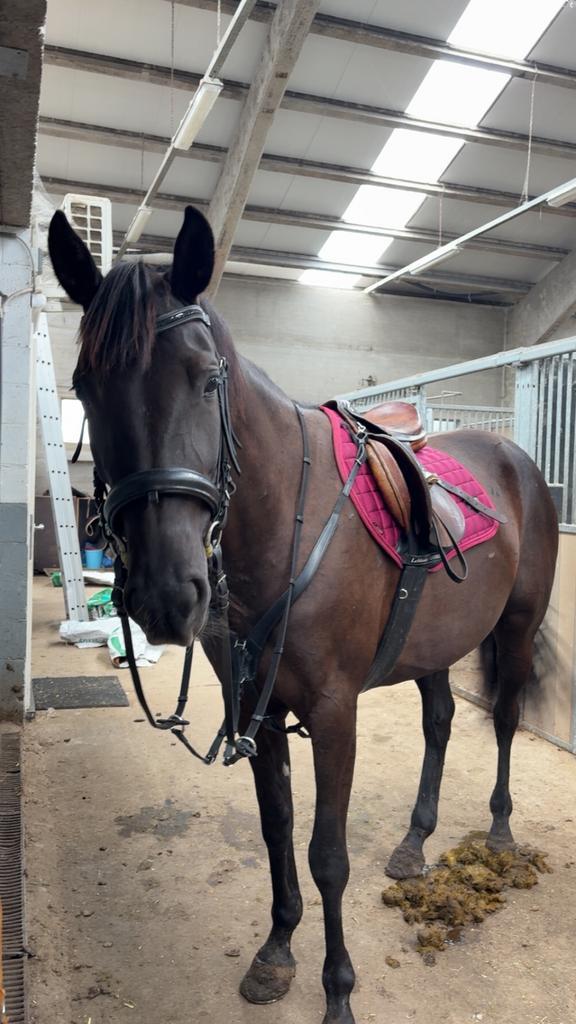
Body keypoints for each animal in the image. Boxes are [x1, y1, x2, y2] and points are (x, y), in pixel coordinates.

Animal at [48, 205, 558, 1024]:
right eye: (85, 388)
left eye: (208, 380)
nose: (167, 594)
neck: (288, 518)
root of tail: (514, 459)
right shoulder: (258, 707)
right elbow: (277, 829)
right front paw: (277, 950)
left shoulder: (333, 710)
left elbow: (327, 856)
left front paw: (338, 991)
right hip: (433, 644)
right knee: (441, 720)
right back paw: (415, 843)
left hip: (515, 628)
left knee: (505, 718)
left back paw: (501, 830)